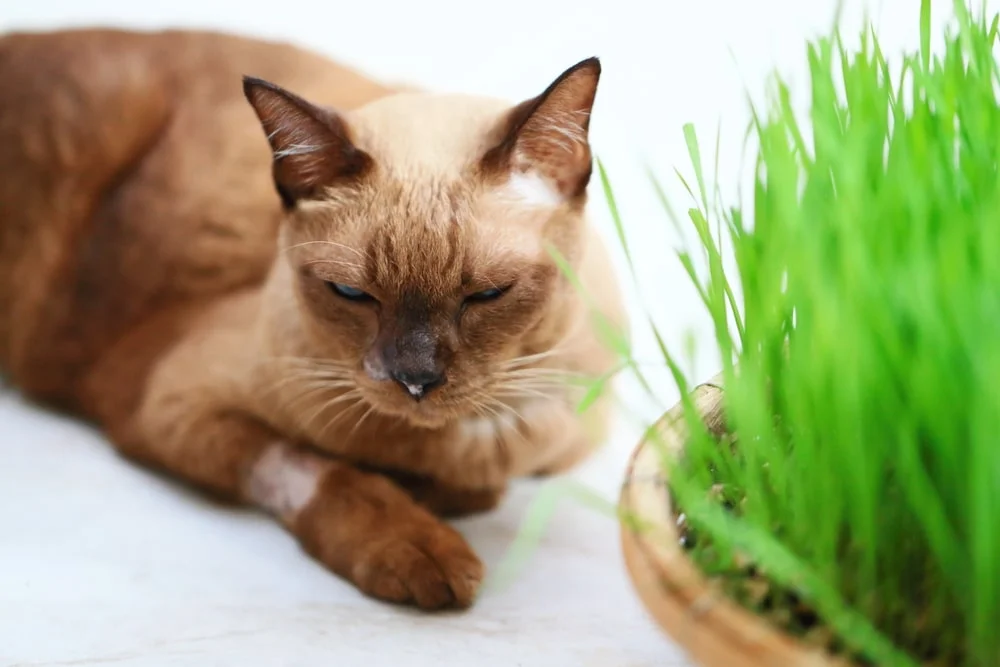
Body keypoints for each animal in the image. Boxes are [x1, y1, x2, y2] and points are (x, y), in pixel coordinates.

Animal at [0, 26, 624, 612]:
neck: (459, 443)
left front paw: (443, 493)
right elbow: (320, 468)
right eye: (351, 293)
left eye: (488, 294)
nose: (415, 380)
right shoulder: (170, 400)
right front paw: (420, 546)